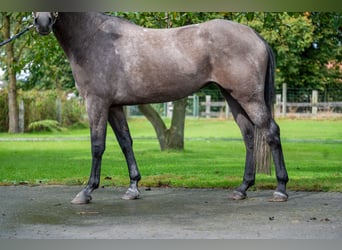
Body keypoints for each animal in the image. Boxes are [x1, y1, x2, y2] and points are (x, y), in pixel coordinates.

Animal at [32, 11, 288, 204]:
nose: (42, 22)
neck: (93, 37)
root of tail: (255, 35)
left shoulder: (96, 103)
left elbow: (97, 145)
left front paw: (86, 191)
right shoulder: (114, 106)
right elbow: (125, 142)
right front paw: (133, 187)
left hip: (249, 98)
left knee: (271, 132)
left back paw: (280, 189)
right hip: (233, 97)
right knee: (249, 136)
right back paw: (242, 188)